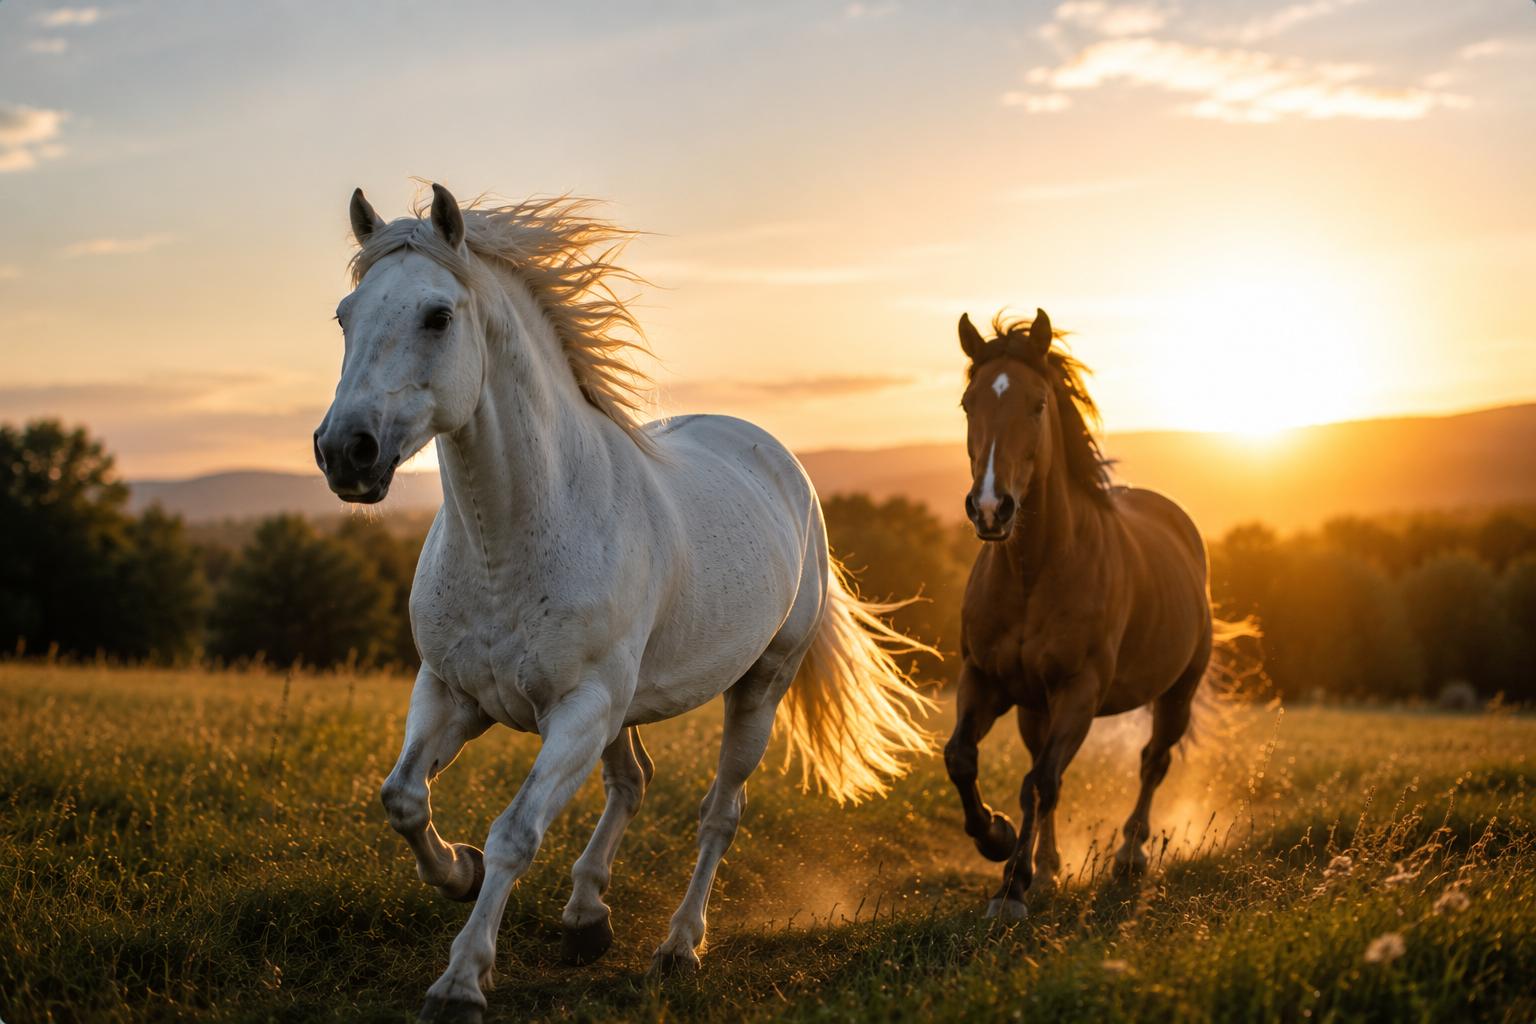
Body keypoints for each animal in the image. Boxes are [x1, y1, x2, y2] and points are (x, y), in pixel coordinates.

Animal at [313, 183, 934, 1023]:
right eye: (345, 315)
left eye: (438, 316)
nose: (345, 452)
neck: (510, 541)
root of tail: (778, 462)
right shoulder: (451, 691)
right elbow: (404, 798)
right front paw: (459, 873)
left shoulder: (579, 708)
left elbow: (516, 833)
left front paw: (461, 981)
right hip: (623, 706)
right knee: (632, 782)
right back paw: (585, 919)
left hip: (756, 686)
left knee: (720, 813)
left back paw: (677, 948)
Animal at [943, 309, 1216, 922]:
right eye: (969, 403)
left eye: (1038, 404)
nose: (991, 509)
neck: (1032, 571)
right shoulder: (984, 679)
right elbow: (962, 759)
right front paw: (997, 838)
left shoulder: (1080, 689)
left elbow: (1040, 782)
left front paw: (1011, 889)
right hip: (1033, 707)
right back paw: (1048, 866)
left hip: (1177, 694)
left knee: (1152, 761)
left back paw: (1129, 855)